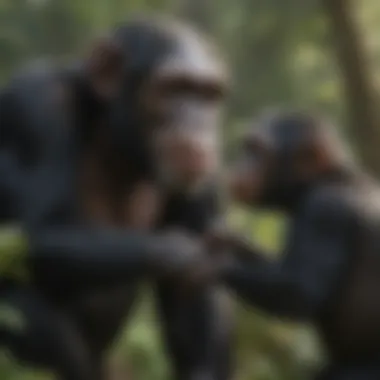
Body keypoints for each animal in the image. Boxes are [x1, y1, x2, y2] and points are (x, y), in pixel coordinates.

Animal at [0, 14, 233, 380]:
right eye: (173, 88)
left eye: (207, 95)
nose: (196, 124)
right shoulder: (34, 106)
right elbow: (29, 234)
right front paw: (181, 253)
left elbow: (196, 296)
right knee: (21, 306)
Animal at [202, 108, 380, 378]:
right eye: (247, 148)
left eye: (258, 151)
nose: (242, 164)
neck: (324, 178)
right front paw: (225, 241)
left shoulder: (325, 212)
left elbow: (298, 289)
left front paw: (210, 261)